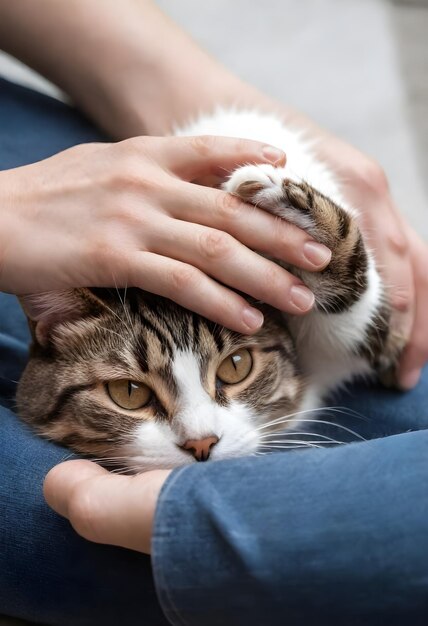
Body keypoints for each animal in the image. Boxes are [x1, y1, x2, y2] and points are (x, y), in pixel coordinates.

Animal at [15, 108, 404, 468]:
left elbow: (354, 314)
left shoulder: (338, 347)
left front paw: (286, 200)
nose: (201, 443)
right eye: (128, 392)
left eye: (236, 365)